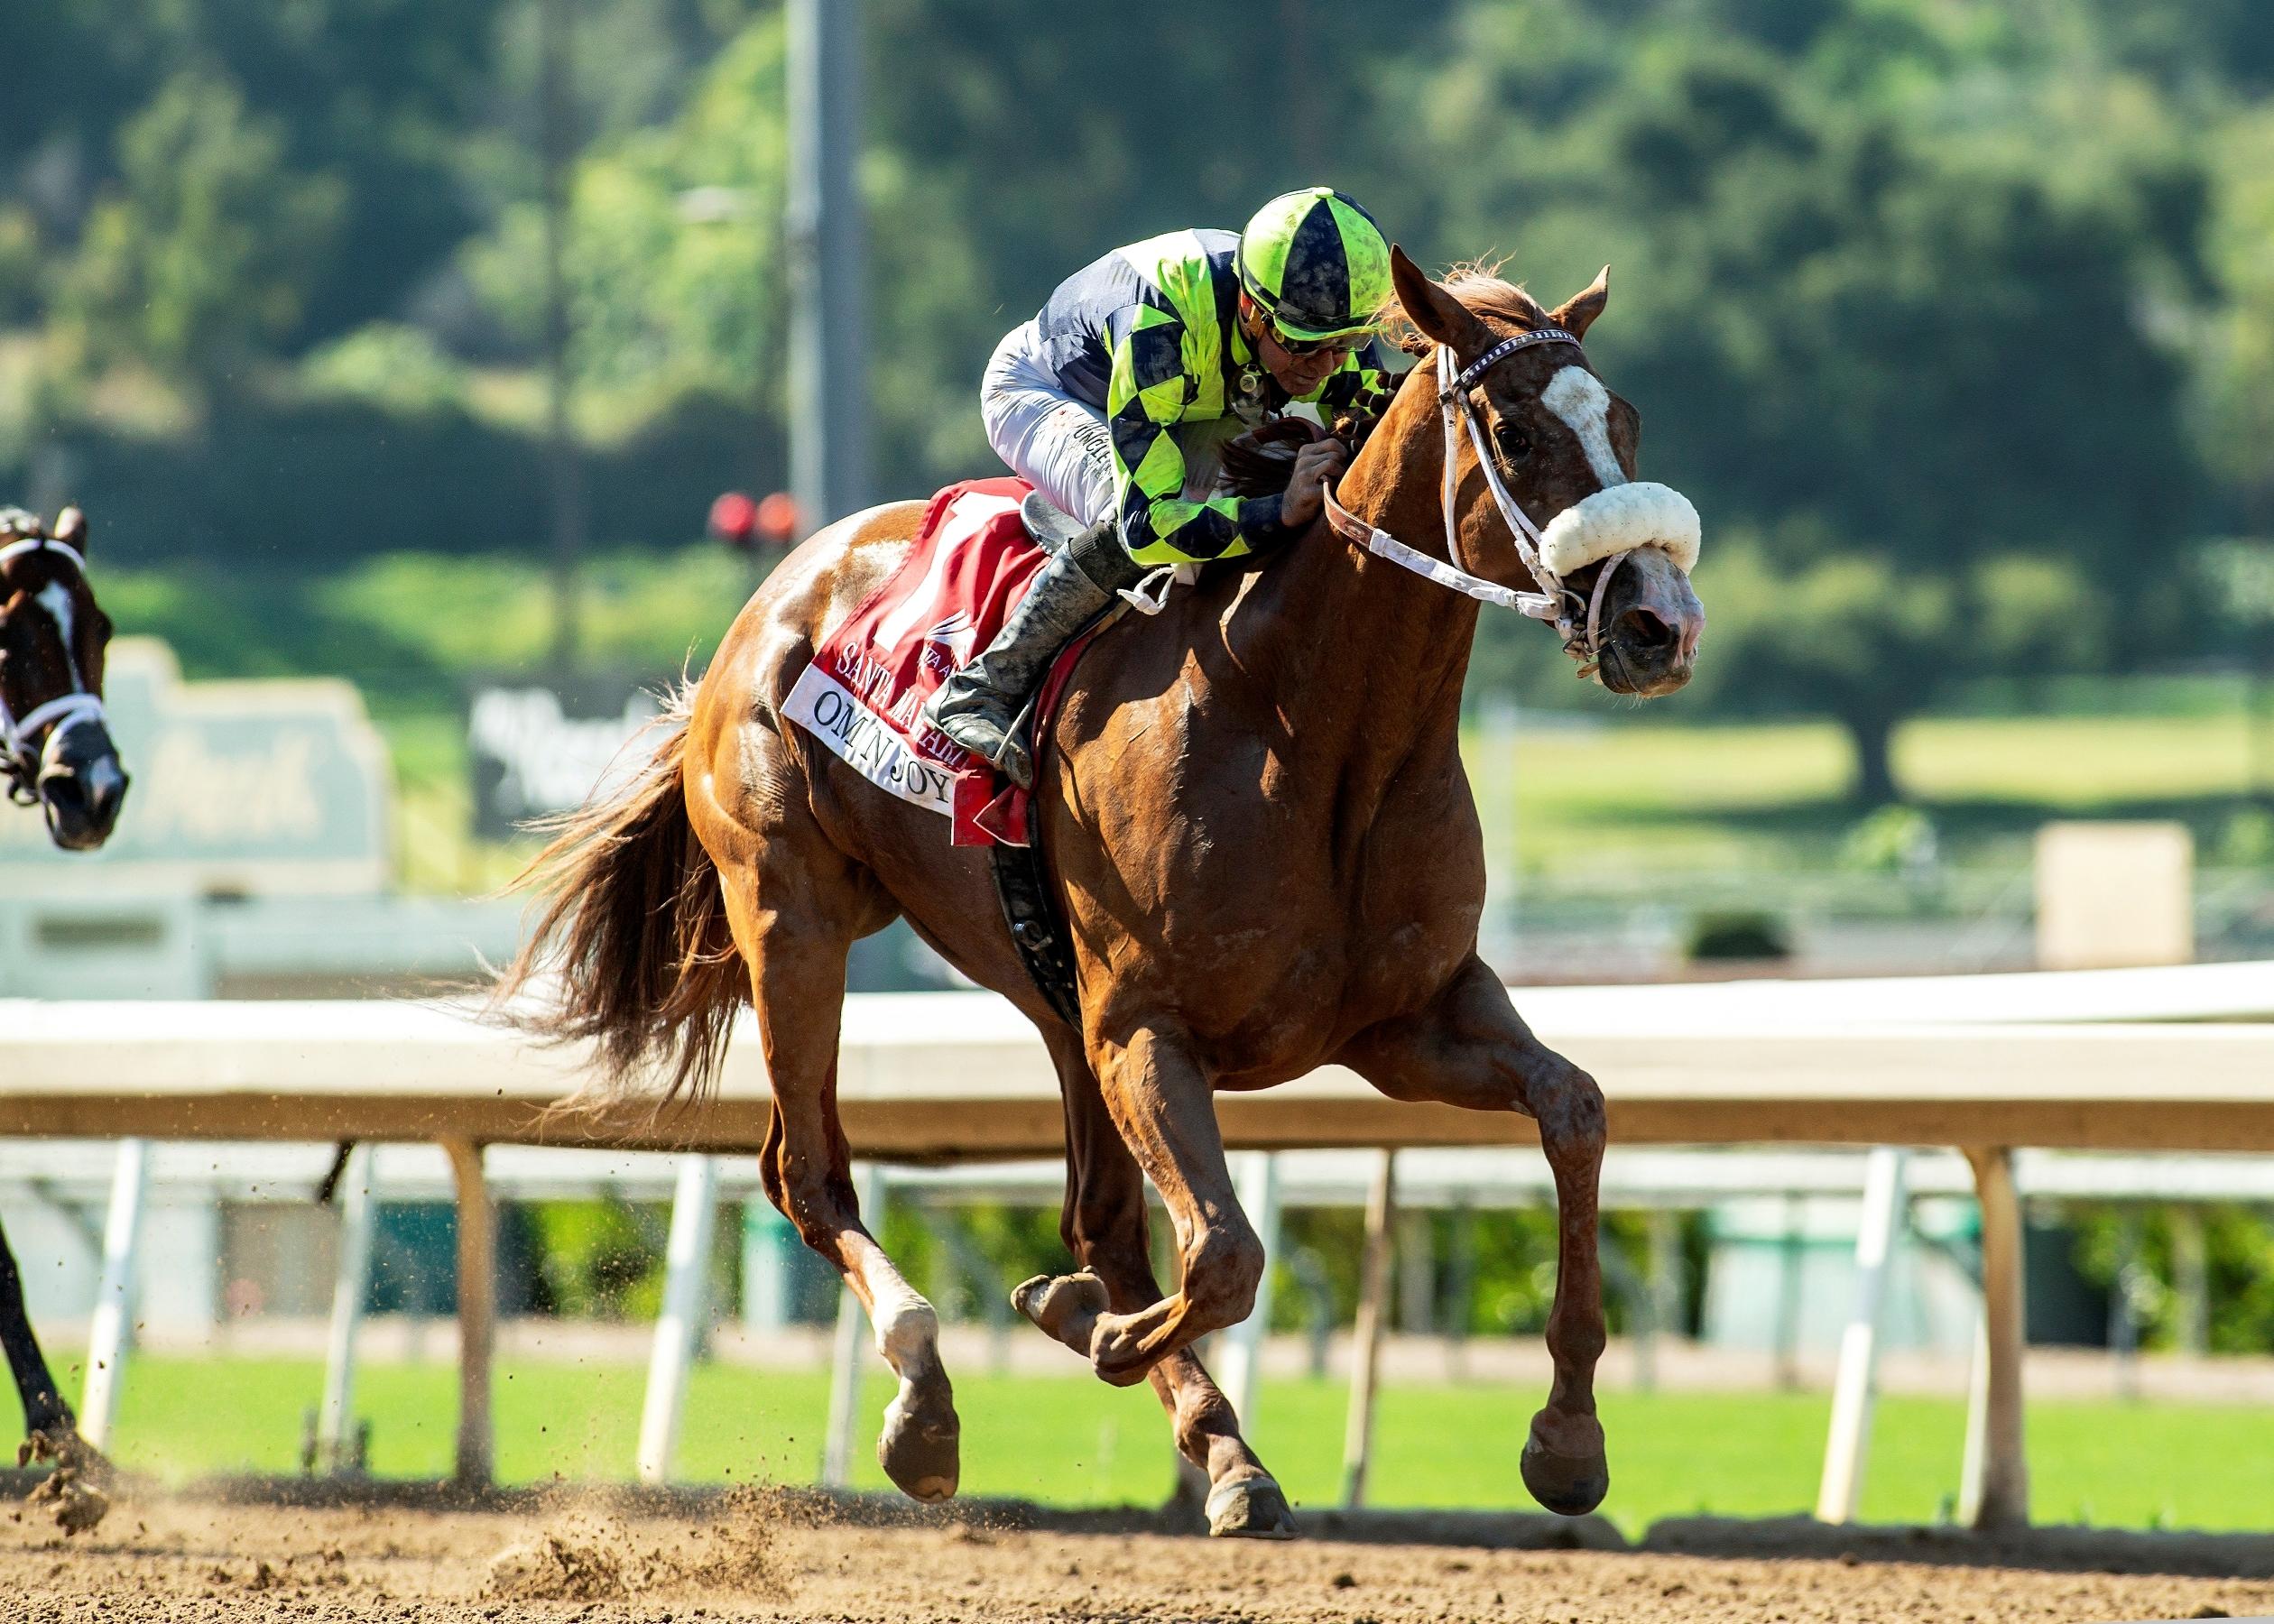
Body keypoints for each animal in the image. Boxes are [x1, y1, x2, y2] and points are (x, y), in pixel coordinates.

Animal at [498, 248, 1705, 1536]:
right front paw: (1082, 1326)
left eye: (1627, 420)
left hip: (1050, 997)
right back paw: (932, 1403)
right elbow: (1223, 1255)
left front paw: (1568, 1439)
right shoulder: (1146, 1026)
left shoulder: (1403, 1018)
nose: (1659, 623)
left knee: (1102, 1222)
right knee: (809, 1173)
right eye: (1516, 432)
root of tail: (777, 594)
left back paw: (1213, 1443)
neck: (1309, 728)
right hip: (794, 913)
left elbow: (1575, 1109)